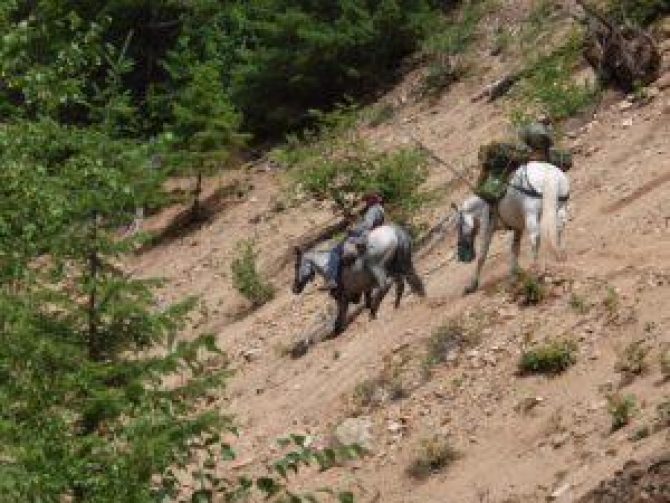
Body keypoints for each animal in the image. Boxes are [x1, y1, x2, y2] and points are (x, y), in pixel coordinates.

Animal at [292, 224, 426, 334]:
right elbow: (365, 300)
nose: (295, 288)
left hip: (376, 267)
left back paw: (373, 313)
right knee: (405, 281)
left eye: (296, 265)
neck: (326, 265)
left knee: (386, 285)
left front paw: (338, 330)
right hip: (401, 266)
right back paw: (402, 303)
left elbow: (340, 315)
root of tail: (394, 231)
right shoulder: (363, 289)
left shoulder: (342, 297)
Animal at [454, 161, 568, 296]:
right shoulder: (517, 228)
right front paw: (514, 273)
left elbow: (482, 256)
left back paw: (535, 266)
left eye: (458, 225)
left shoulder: (487, 228)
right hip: (560, 208)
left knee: (535, 237)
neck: (483, 204)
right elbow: (515, 249)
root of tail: (550, 173)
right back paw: (560, 254)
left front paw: (472, 285)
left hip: (531, 214)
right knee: (559, 228)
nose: (462, 256)